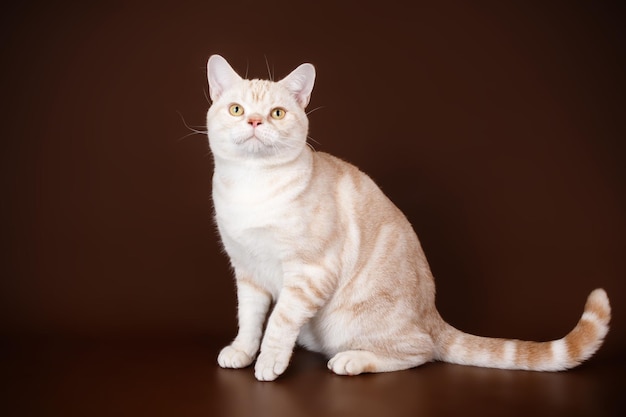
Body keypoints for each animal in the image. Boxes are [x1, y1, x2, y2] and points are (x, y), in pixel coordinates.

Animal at [205, 52, 608, 380]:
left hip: (347, 323)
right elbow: (250, 319)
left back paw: (352, 360)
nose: (255, 122)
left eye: (277, 113)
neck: (251, 186)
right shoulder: (248, 272)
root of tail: (433, 316)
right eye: (237, 110)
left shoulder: (309, 273)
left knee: (420, 352)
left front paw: (269, 362)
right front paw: (242, 352)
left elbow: (278, 322)